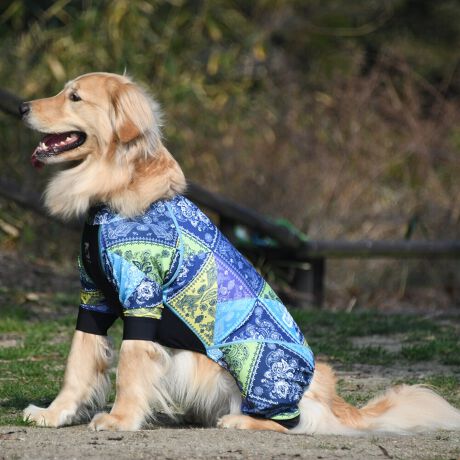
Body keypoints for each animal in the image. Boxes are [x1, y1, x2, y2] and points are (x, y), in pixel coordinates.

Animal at [19, 72, 460, 434]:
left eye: (75, 97)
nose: (22, 107)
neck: (110, 193)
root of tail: (323, 393)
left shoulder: (142, 295)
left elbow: (130, 366)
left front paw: (120, 419)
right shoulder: (93, 298)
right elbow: (78, 363)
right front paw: (54, 413)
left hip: (252, 364)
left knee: (289, 423)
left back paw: (239, 420)